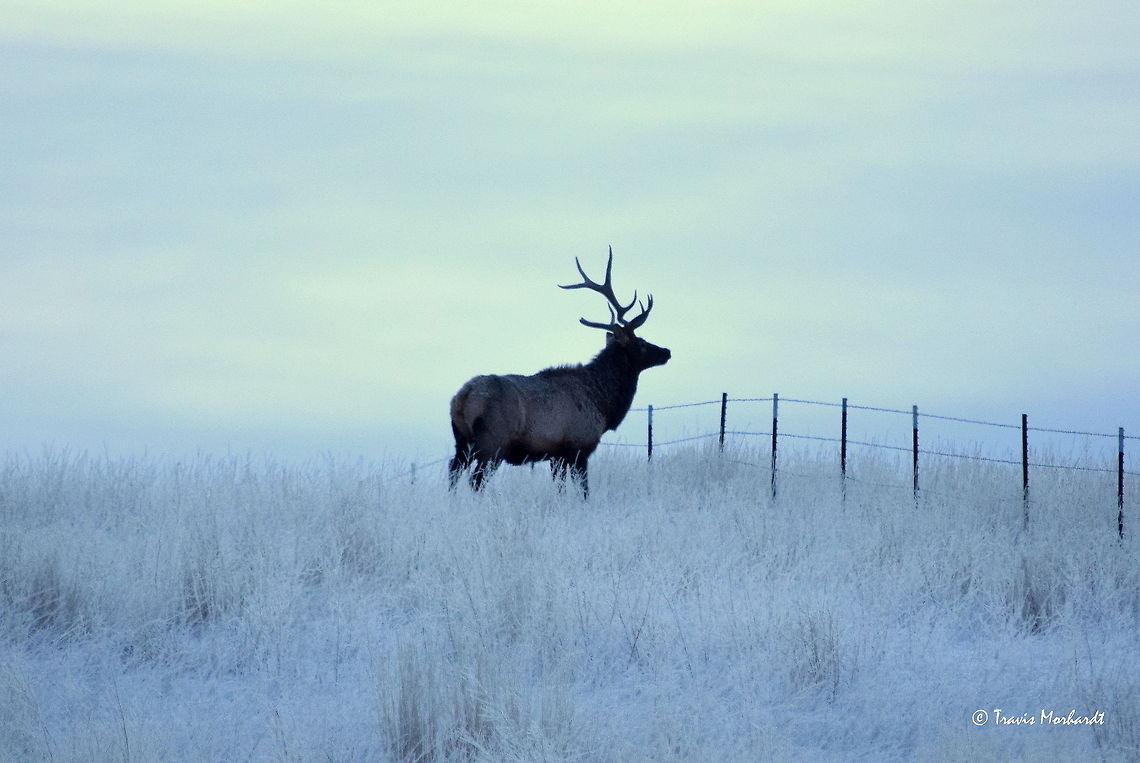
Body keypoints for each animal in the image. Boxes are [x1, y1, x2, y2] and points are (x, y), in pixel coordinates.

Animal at [448, 248, 670, 497]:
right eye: (641, 342)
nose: (666, 352)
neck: (603, 403)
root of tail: (463, 397)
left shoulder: (556, 454)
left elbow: (560, 488)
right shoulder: (579, 445)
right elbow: (584, 489)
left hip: (462, 440)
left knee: (453, 471)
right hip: (492, 441)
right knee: (476, 479)